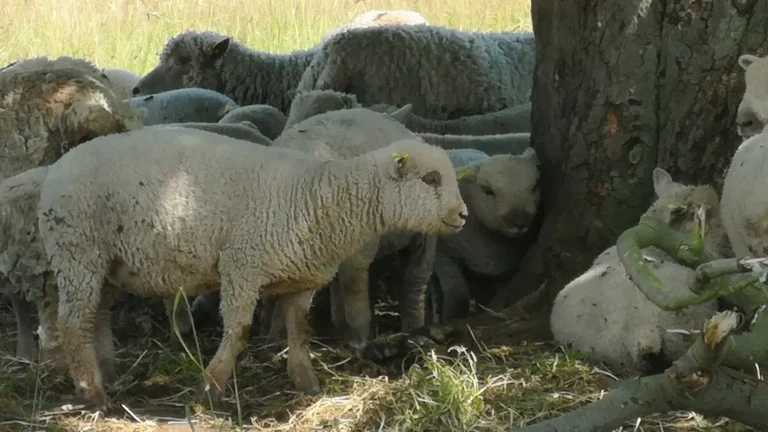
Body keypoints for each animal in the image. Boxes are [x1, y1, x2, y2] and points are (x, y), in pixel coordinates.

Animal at [37, 125, 467, 410]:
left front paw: (306, 381)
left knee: (96, 316)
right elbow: (239, 331)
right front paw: (212, 387)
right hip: (78, 250)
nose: (462, 215)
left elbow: (299, 329)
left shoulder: (302, 277)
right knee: (72, 323)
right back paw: (93, 392)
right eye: (430, 179)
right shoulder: (242, 265)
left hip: (106, 262)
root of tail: (55, 172)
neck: (317, 197)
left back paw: (104, 372)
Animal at [428, 147, 541, 322]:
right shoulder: (444, 253)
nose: (520, 222)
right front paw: (452, 316)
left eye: (535, 187)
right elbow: (457, 293)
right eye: (488, 191)